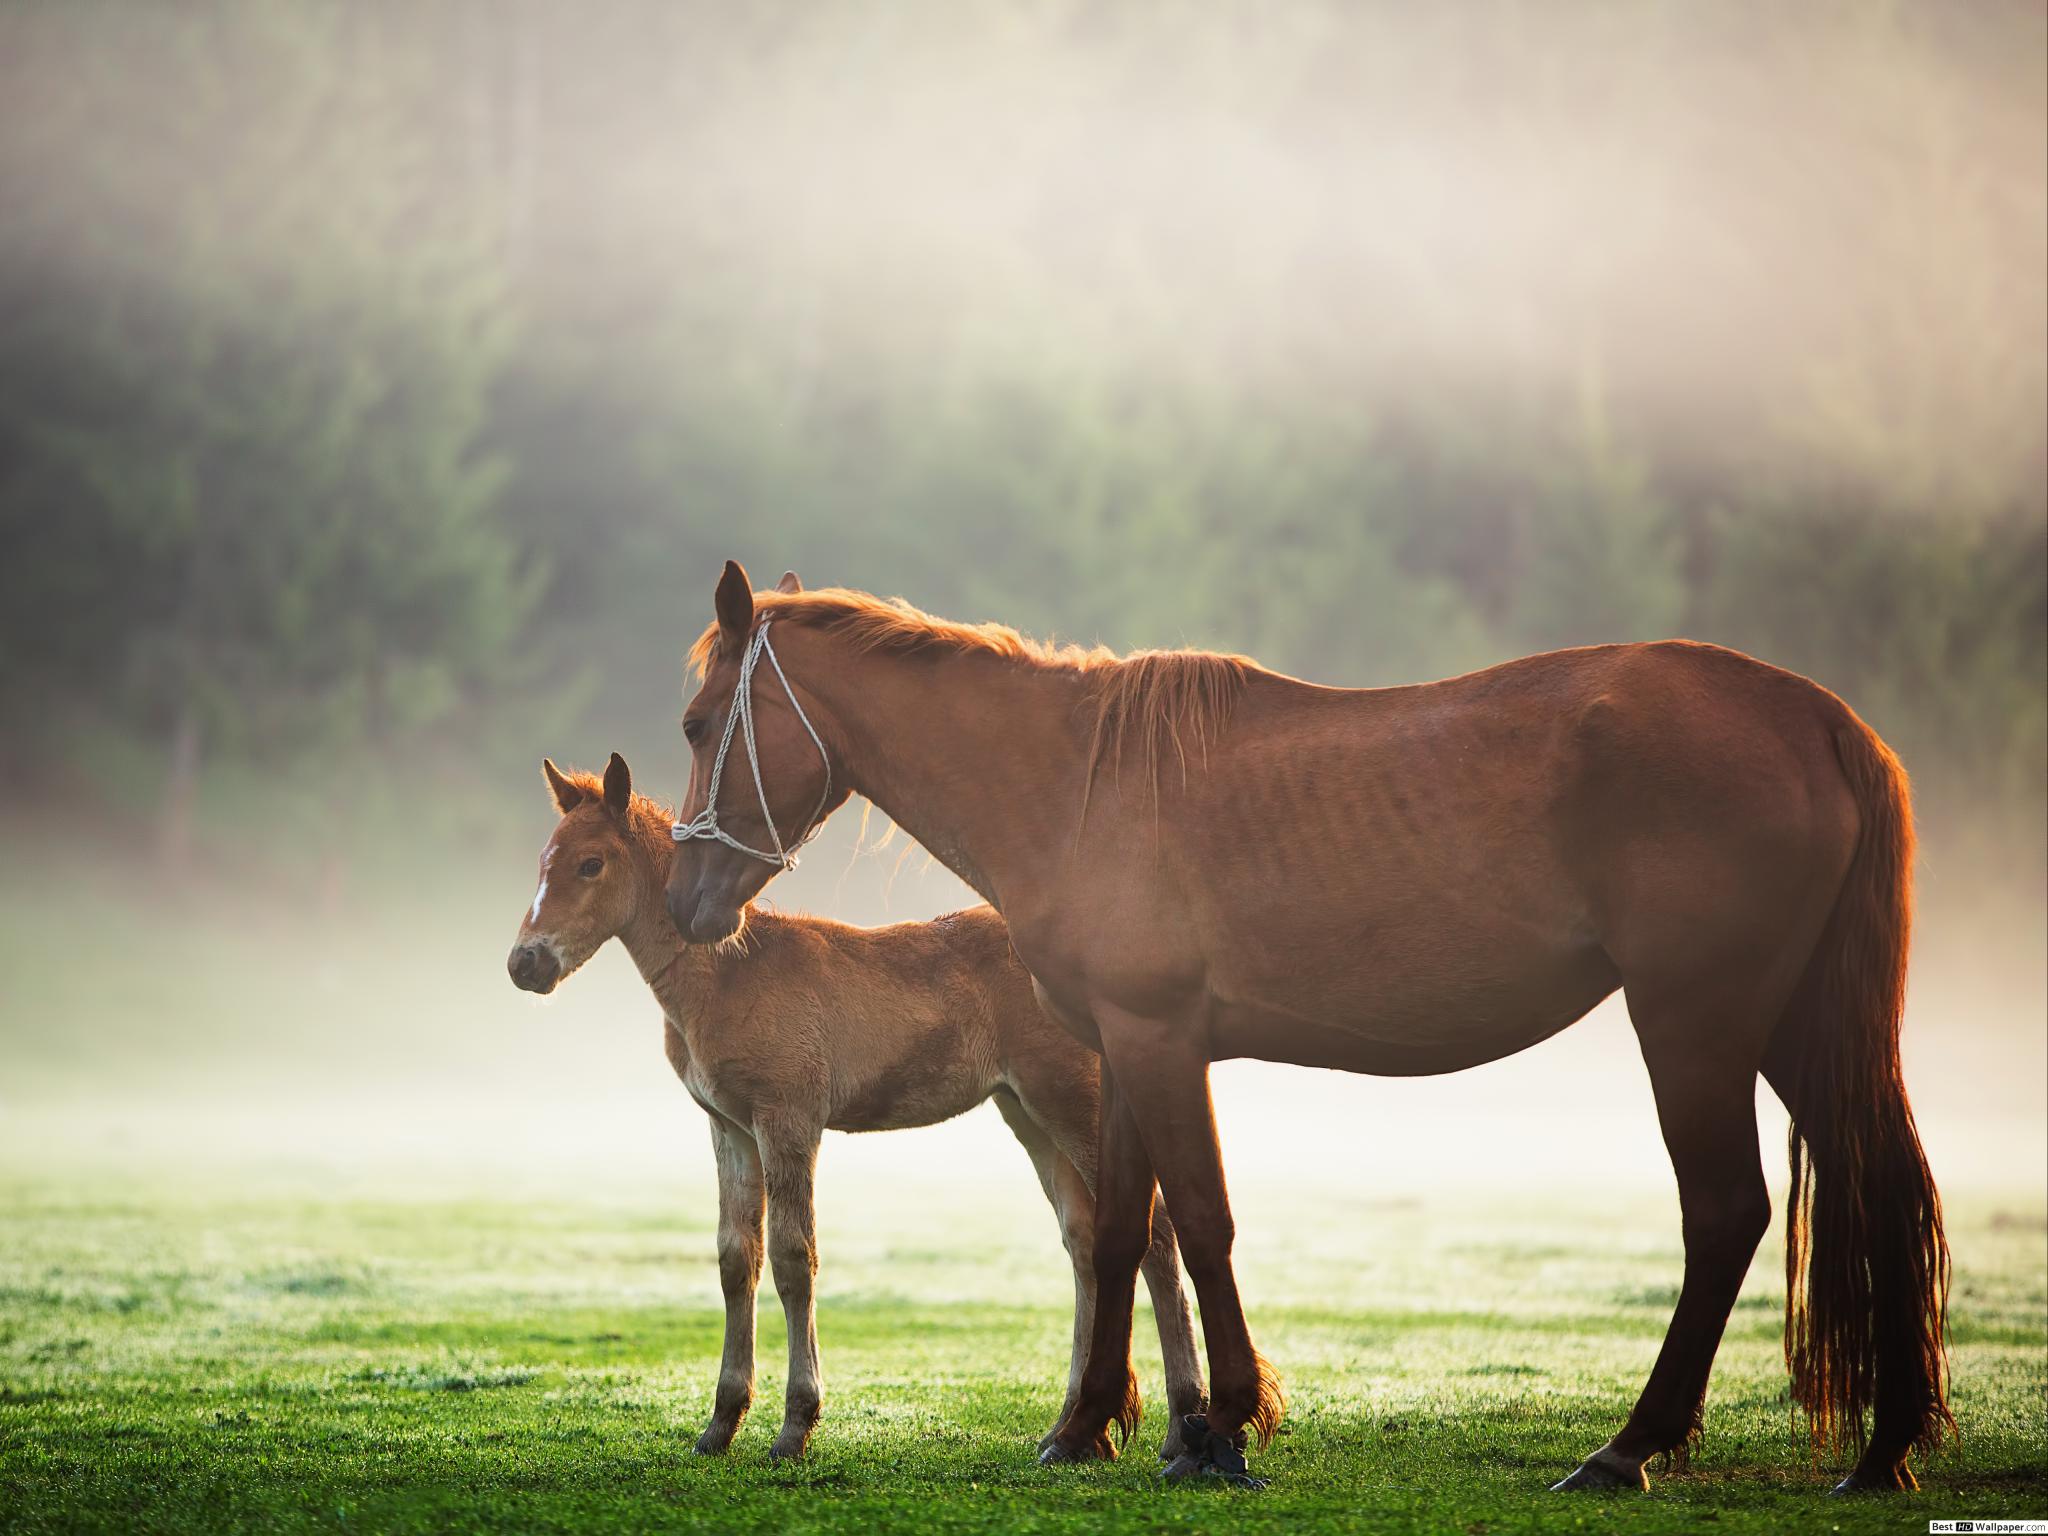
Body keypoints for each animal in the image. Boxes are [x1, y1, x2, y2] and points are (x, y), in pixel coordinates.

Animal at [507, 750, 1206, 1462]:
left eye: (591, 863)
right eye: (543, 860)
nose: (524, 964)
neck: (729, 975)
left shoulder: (787, 1120)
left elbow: (794, 1258)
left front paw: (795, 1424)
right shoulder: (730, 1128)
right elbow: (736, 1259)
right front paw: (720, 1424)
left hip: (1069, 1102)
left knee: (1153, 1235)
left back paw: (1182, 1425)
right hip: (1028, 1114)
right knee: (1085, 1243)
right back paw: (1071, 1428)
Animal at [663, 560, 1951, 1494]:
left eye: (696, 722)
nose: (687, 905)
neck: (1077, 784)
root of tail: (1818, 720)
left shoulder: (1161, 1043)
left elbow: (1201, 1225)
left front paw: (1221, 1426)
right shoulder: (1120, 1052)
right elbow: (1123, 1234)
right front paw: (1089, 1426)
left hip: (1692, 1024)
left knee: (1724, 1213)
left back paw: (1626, 1448)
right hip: (1788, 1028)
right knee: (1878, 1186)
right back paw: (1882, 1448)